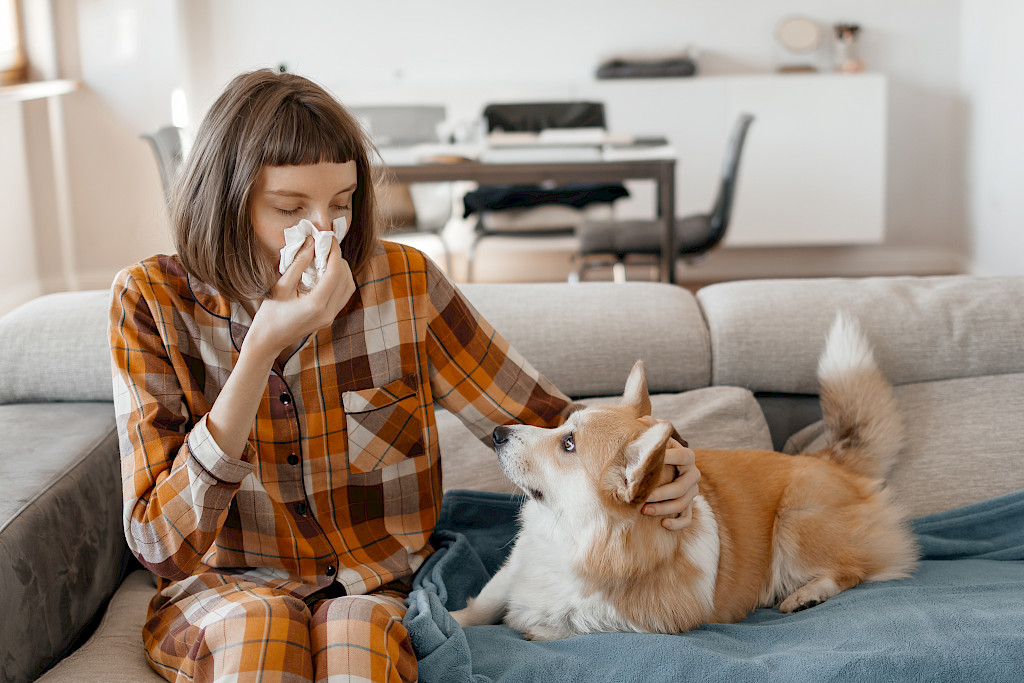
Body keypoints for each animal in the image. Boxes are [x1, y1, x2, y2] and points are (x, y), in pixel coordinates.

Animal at [454, 315, 921, 643]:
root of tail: (826, 459)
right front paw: (451, 617)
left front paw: (538, 627)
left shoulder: (652, 618)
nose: (497, 433)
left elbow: (572, 623)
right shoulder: (515, 567)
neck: (576, 539)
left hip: (797, 522)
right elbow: (484, 605)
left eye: (568, 444)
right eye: (561, 427)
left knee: (855, 568)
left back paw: (808, 594)